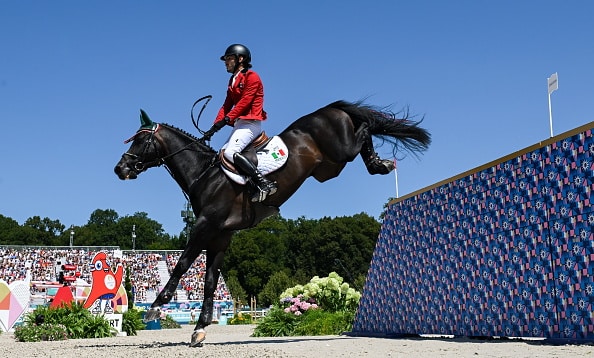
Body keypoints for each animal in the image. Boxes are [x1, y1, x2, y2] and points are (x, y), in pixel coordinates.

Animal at [114, 99, 430, 346]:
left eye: (141, 141)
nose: (120, 168)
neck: (204, 175)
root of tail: (328, 109)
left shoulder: (205, 226)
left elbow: (181, 264)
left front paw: (155, 308)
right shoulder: (220, 235)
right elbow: (210, 281)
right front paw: (200, 330)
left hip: (341, 149)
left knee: (365, 128)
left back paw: (380, 159)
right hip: (331, 166)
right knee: (364, 135)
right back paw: (379, 163)